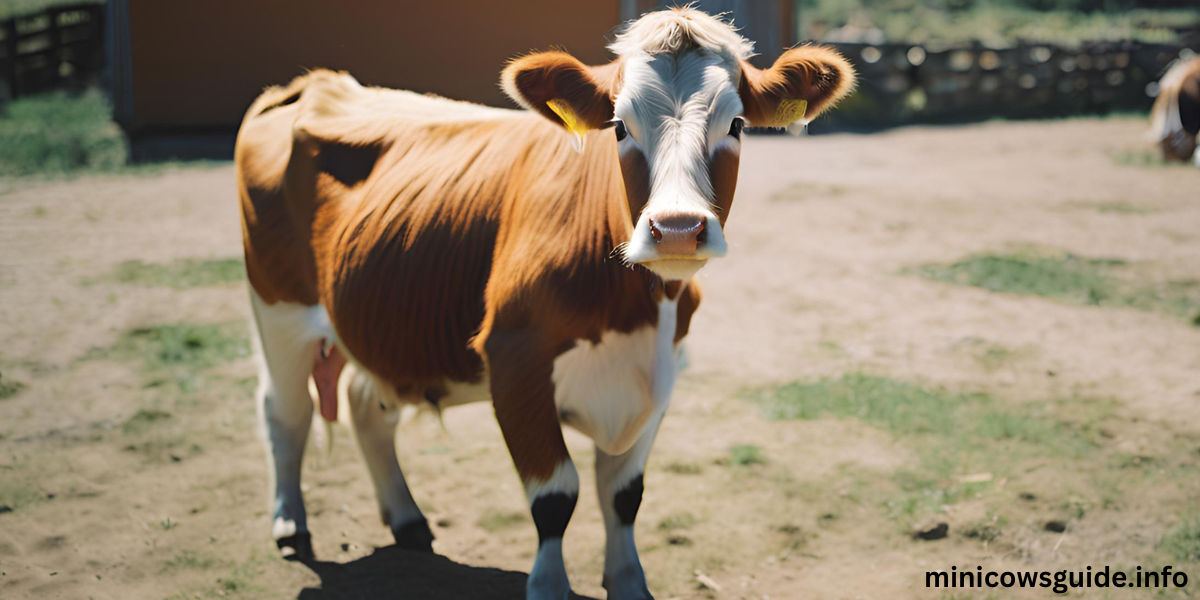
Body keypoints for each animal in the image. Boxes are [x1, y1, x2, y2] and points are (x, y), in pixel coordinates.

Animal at [234, 7, 854, 597]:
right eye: (619, 127)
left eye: (737, 124)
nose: (677, 229)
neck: (637, 312)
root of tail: (315, 82)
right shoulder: (514, 359)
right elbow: (555, 497)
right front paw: (549, 584)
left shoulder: (664, 370)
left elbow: (624, 495)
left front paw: (628, 581)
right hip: (277, 306)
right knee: (285, 411)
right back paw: (290, 524)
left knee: (366, 405)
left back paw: (406, 519)